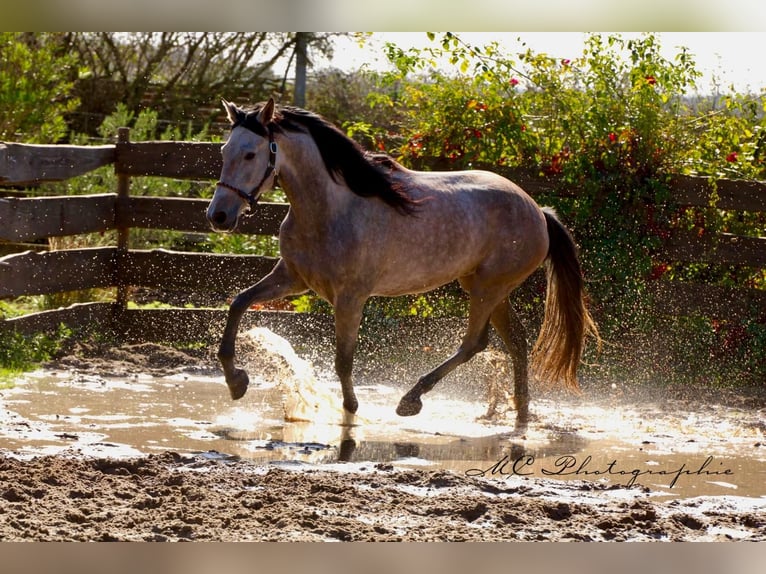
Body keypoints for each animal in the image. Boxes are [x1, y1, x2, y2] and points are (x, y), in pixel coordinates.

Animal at [206, 97, 600, 425]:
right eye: (224, 150)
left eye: (250, 154)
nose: (219, 216)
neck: (330, 210)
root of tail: (538, 211)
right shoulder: (292, 278)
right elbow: (239, 302)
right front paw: (236, 381)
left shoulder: (351, 297)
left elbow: (343, 359)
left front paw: (350, 411)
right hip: (484, 286)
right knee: (515, 340)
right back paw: (520, 413)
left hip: (489, 287)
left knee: (475, 342)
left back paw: (411, 400)